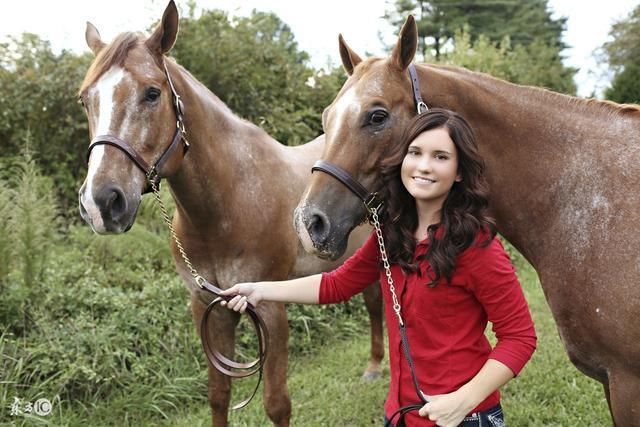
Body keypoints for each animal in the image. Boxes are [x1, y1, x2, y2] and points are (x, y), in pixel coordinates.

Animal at [76, 2, 384, 424]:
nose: (102, 203)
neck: (230, 203)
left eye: (152, 93)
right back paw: (373, 366)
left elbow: (276, 403)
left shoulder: (269, 308)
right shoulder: (209, 307)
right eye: (85, 99)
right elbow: (218, 394)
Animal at [294, 15, 640, 426]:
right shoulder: (611, 383)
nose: (309, 223)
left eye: (377, 115)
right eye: (327, 117)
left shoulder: (626, 382)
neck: (585, 200)